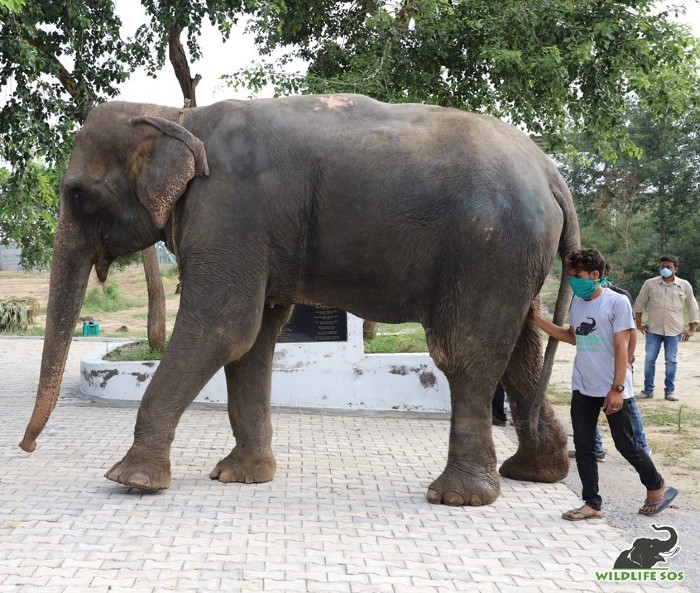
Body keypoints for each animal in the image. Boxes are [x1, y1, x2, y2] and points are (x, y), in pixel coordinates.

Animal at [20, 92, 580, 504]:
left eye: (76, 193)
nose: (26, 448)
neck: (175, 115)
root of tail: (553, 173)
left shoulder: (230, 209)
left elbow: (222, 328)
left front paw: (130, 480)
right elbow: (253, 339)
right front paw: (240, 476)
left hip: (489, 248)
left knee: (462, 353)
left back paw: (458, 497)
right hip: (513, 258)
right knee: (518, 351)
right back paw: (534, 473)